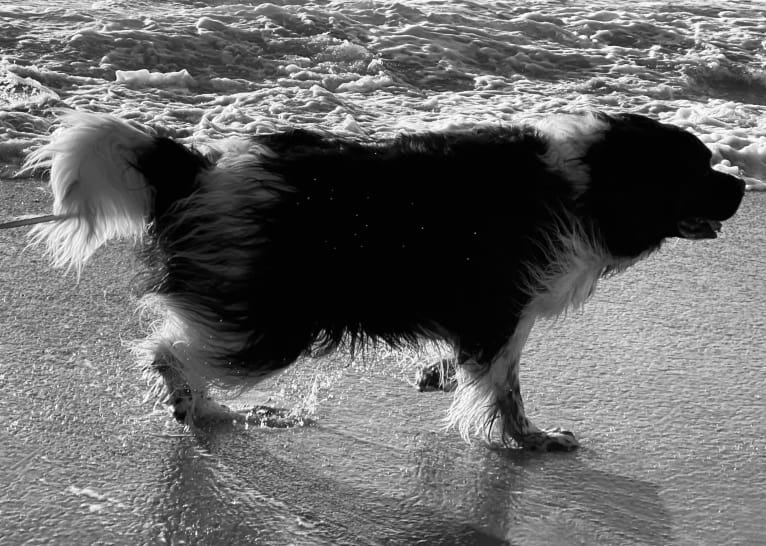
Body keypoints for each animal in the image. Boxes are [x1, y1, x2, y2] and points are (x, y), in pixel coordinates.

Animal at [27, 108, 748, 448]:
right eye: (697, 169)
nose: (742, 185)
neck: (590, 184)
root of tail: (202, 169)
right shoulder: (501, 310)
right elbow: (505, 390)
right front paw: (530, 439)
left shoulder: (480, 312)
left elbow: (478, 370)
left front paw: (442, 376)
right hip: (271, 315)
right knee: (170, 348)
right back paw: (198, 401)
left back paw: (214, 408)